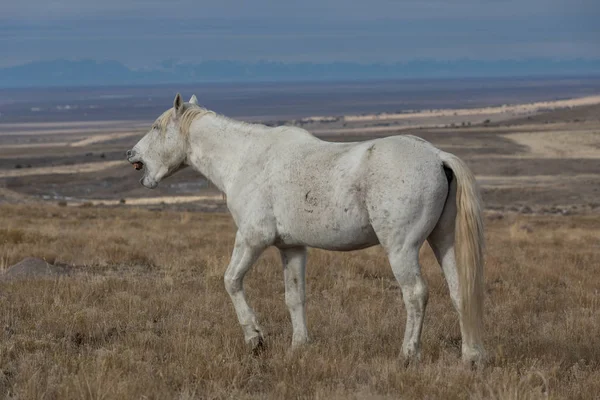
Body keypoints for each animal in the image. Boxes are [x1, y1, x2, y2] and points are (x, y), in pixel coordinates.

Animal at [127, 94, 488, 366]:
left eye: (156, 126)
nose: (131, 154)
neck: (245, 158)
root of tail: (438, 157)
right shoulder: (291, 248)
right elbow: (294, 296)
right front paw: (300, 345)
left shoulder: (252, 239)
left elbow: (231, 281)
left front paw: (255, 338)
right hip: (442, 241)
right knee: (460, 291)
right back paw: (471, 357)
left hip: (401, 249)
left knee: (415, 294)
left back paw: (408, 355)